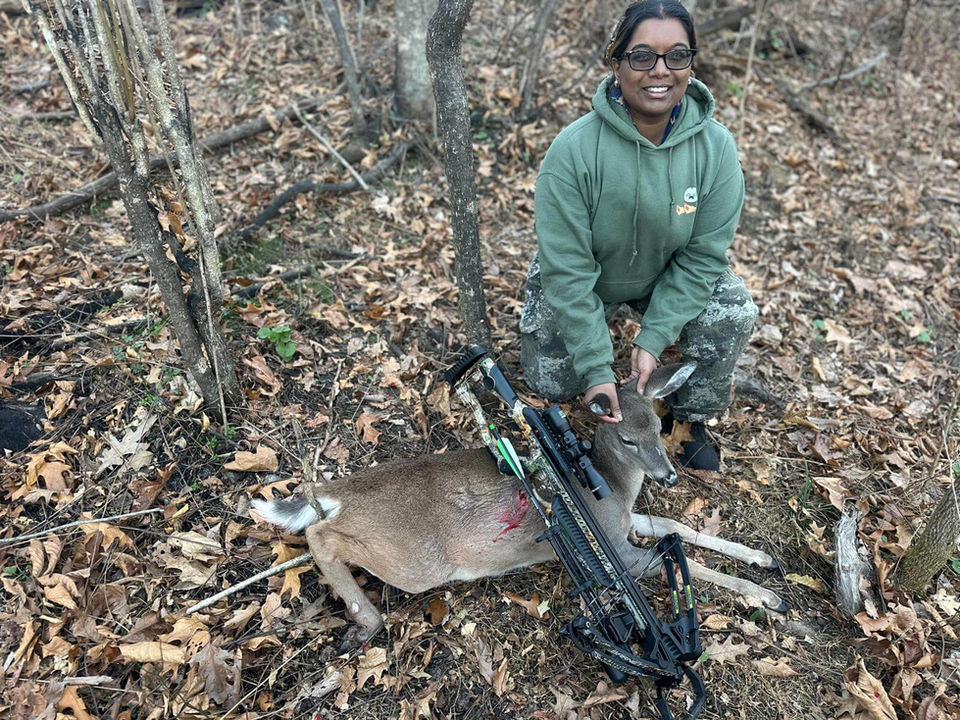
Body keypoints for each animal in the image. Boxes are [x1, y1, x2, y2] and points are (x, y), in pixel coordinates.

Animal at [251, 363, 785, 650]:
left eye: (659, 427)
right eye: (628, 440)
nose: (669, 474)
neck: (613, 487)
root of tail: (341, 490)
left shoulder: (626, 522)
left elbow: (677, 525)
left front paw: (762, 558)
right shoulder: (617, 551)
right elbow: (684, 559)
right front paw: (767, 596)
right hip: (417, 559)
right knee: (320, 534)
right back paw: (366, 619)